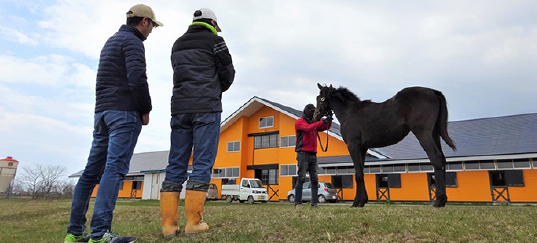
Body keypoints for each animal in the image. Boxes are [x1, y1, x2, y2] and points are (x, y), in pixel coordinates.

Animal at [314, 83, 456, 207]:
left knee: (436, 159)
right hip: (434, 134)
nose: (315, 116)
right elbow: (361, 173)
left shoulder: (353, 147)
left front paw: (356, 202)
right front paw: (362, 200)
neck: (349, 112)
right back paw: (443, 200)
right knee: (442, 160)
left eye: (319, 98)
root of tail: (433, 92)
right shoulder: (362, 149)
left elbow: (358, 175)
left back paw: (439, 201)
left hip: (423, 134)